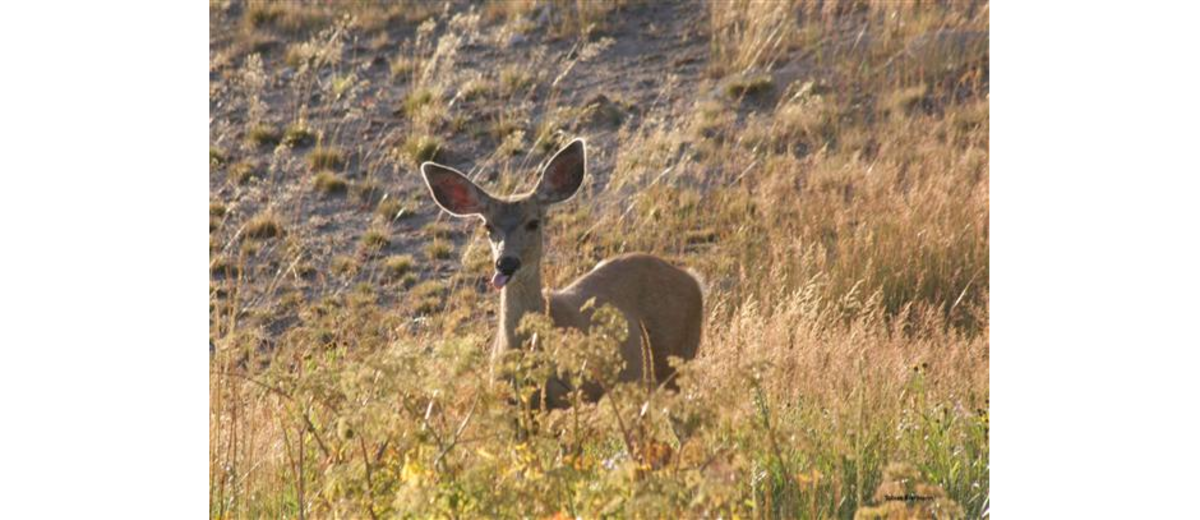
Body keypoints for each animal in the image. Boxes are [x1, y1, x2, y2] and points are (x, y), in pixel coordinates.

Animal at [422, 138, 700, 408]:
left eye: (533, 222)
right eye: (488, 226)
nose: (506, 263)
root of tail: (693, 279)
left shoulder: (575, 394)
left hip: (676, 357)